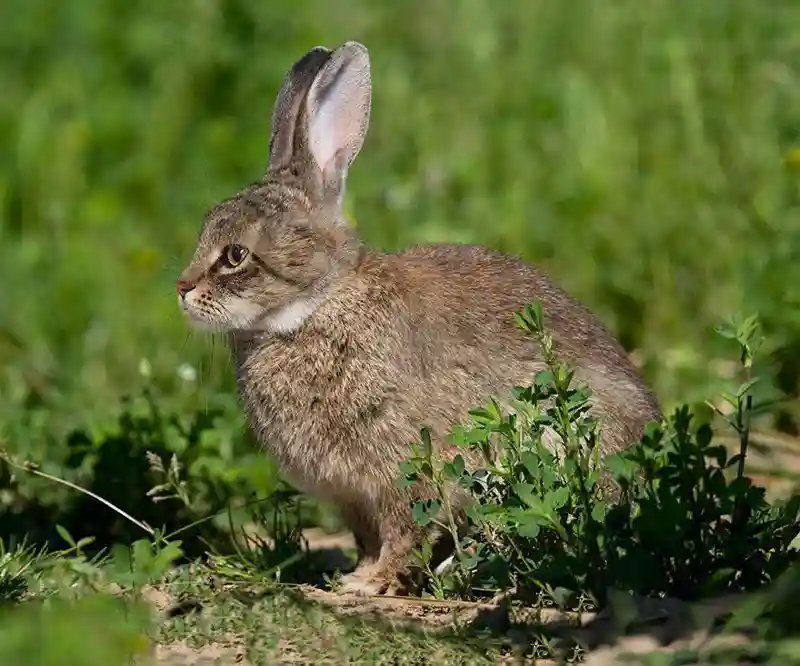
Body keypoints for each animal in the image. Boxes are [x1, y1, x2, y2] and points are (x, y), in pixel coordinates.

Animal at [177, 40, 664, 592]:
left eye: (236, 256)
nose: (182, 290)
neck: (317, 305)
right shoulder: (354, 498)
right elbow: (368, 538)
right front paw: (356, 574)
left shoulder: (404, 470)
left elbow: (406, 529)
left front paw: (367, 584)